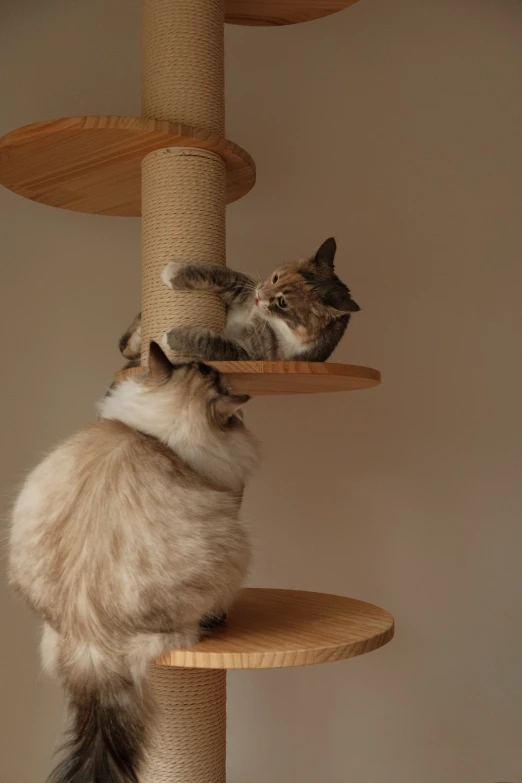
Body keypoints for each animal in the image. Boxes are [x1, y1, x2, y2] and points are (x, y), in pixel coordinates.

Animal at [119, 237, 360, 366]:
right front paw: (175, 272)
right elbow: (218, 275)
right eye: (275, 278)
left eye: (282, 303)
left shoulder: (247, 353)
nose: (259, 296)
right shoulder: (242, 289)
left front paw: (171, 336)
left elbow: (211, 343)